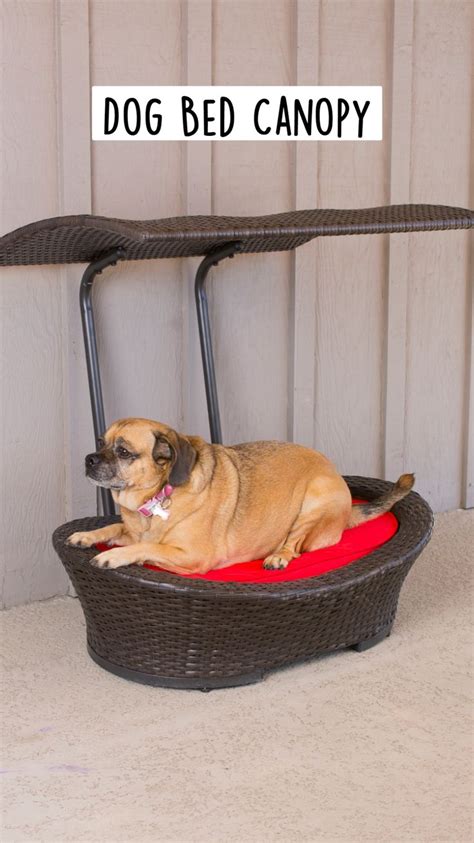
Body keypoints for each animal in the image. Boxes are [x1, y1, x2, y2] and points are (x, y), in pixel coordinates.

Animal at [67, 418, 414, 576]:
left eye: (123, 451)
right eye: (100, 441)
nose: (88, 459)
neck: (153, 500)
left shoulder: (193, 556)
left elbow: (147, 547)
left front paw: (116, 556)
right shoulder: (131, 529)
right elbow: (114, 528)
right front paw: (87, 535)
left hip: (313, 503)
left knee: (294, 545)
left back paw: (278, 556)